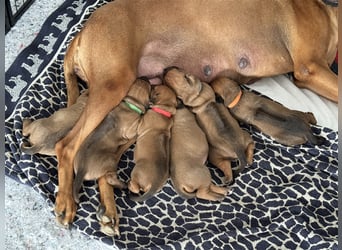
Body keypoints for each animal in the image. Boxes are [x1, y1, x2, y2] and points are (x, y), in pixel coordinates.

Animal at [72, 78, 151, 236]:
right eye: (150, 87)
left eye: (142, 81)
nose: (146, 78)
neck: (130, 104)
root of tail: (82, 168)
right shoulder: (132, 129)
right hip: (110, 162)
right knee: (109, 178)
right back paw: (124, 184)